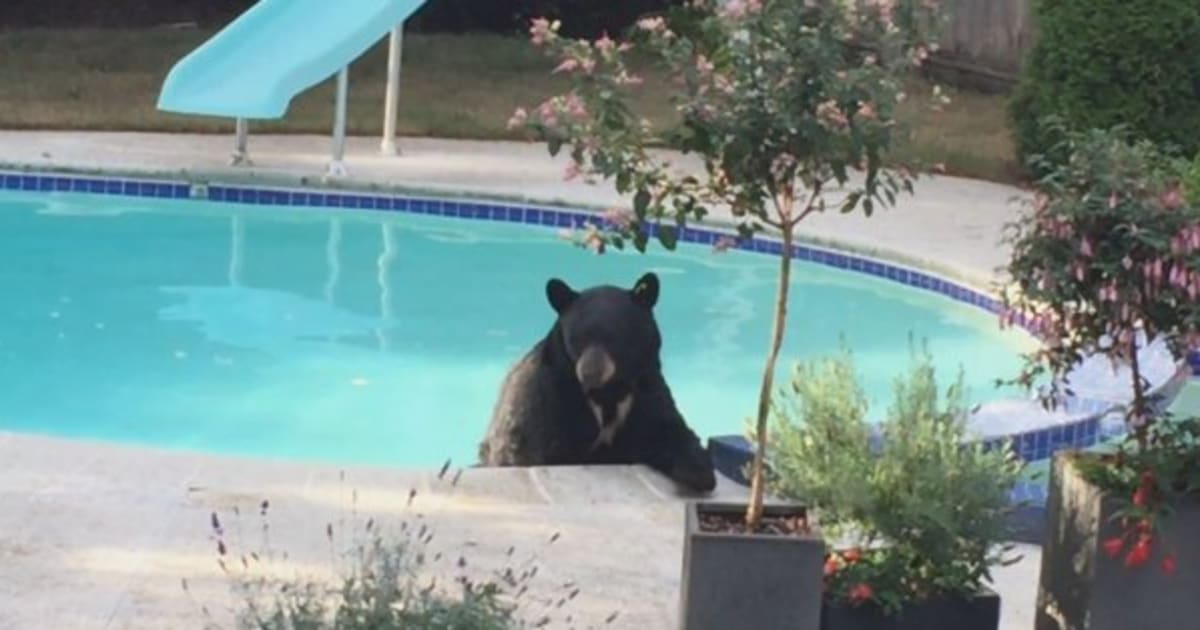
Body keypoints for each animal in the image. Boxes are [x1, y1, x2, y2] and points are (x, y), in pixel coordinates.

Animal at [477, 270, 715, 492]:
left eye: (615, 336)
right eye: (578, 337)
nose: (589, 373)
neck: (609, 391)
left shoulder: (644, 386)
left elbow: (665, 428)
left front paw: (701, 472)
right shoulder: (551, 395)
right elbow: (549, 447)